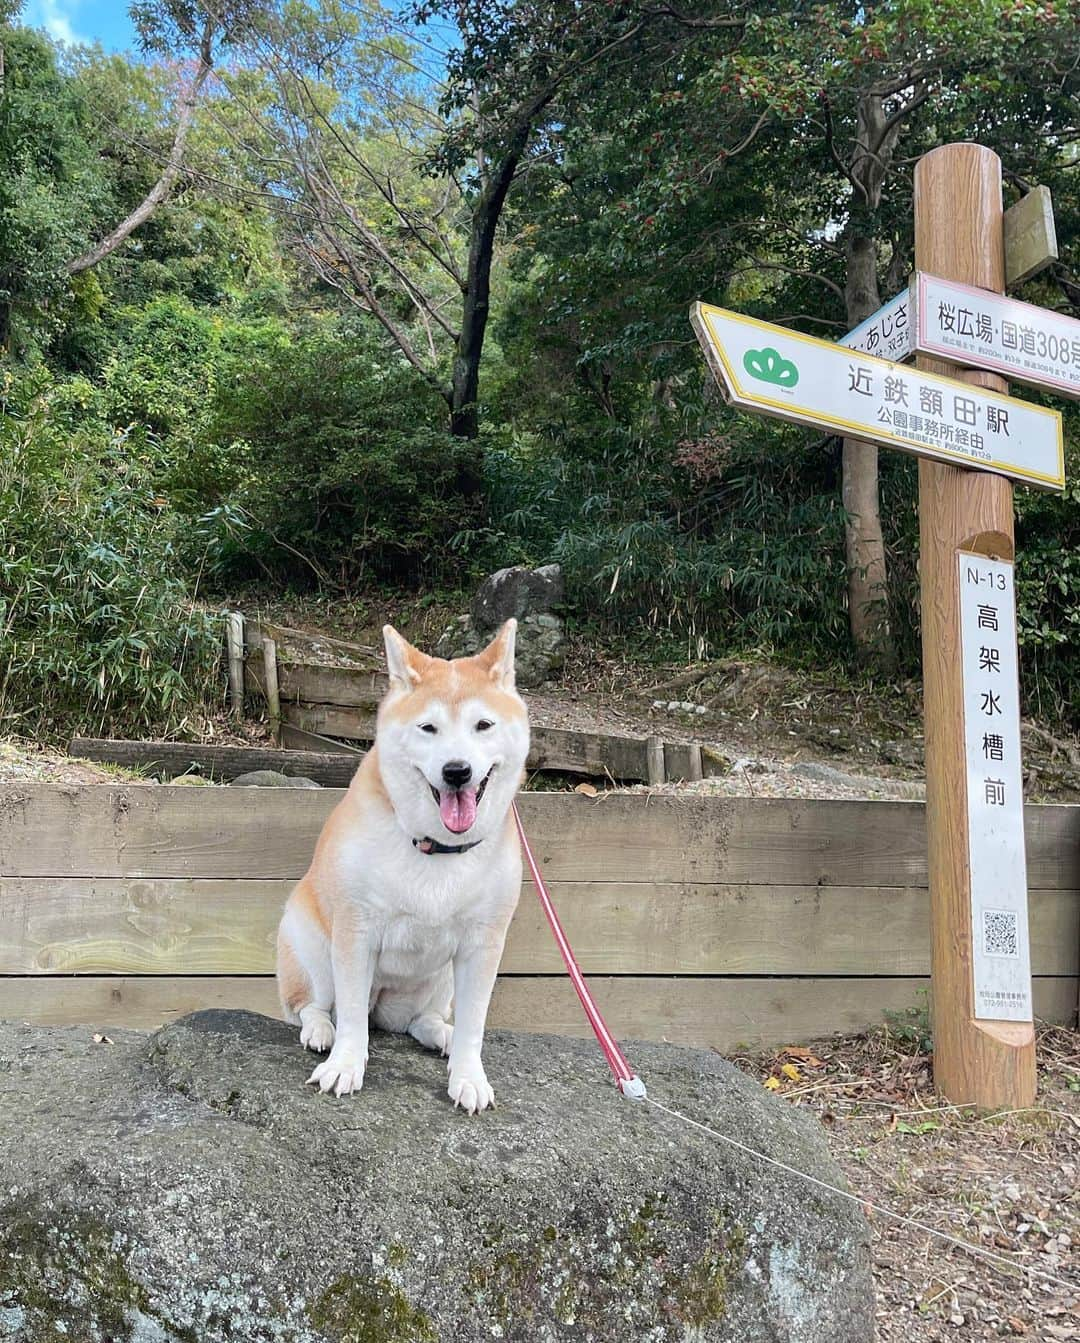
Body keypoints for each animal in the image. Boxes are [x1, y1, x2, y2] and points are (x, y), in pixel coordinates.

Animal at [276, 617, 529, 1112]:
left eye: (483, 725)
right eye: (428, 727)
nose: (456, 770)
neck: (437, 847)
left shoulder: (483, 943)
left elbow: (474, 1025)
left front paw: (469, 1076)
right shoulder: (356, 931)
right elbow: (351, 1018)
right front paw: (344, 1065)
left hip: (441, 979)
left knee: (419, 1021)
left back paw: (440, 1033)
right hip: (312, 949)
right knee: (315, 1006)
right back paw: (320, 1030)